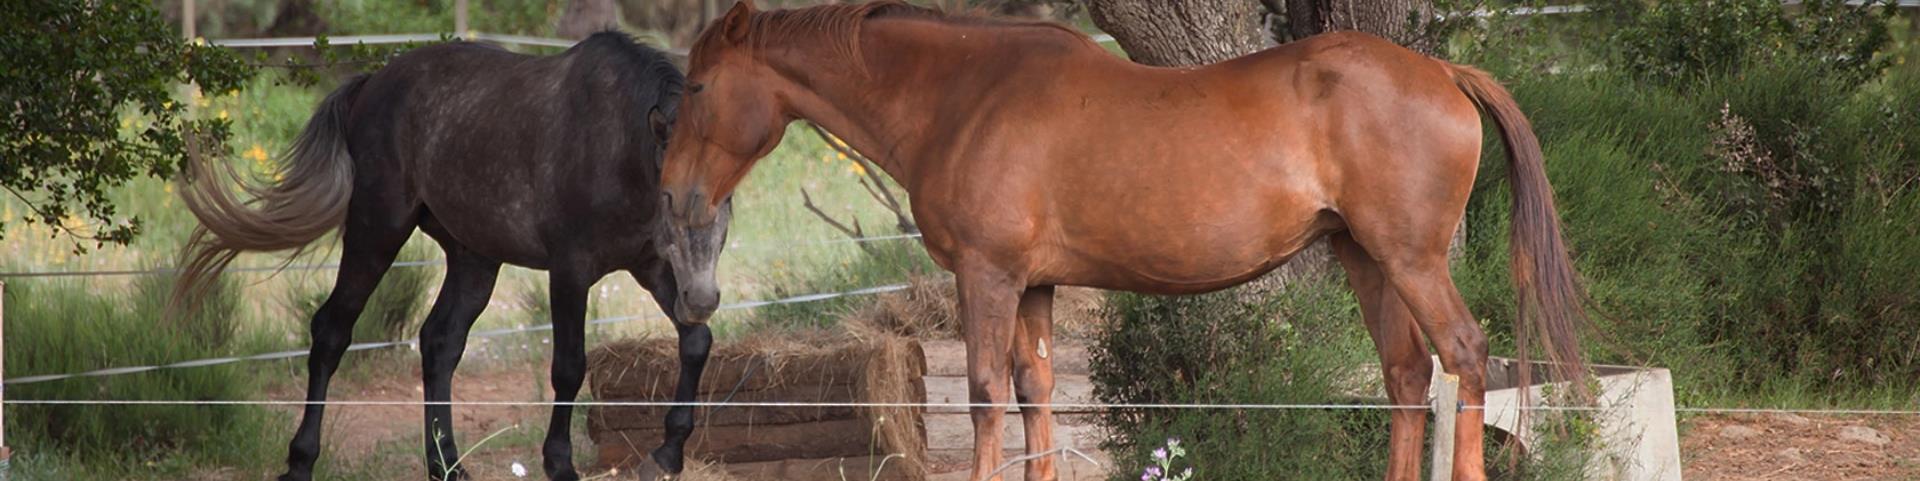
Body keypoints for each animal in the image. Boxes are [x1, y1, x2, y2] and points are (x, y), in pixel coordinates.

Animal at [172, 31, 729, 479]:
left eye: (726, 200)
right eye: (672, 199)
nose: (703, 298)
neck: (613, 144)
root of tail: (372, 83)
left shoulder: (653, 266)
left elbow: (697, 343)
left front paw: (667, 453)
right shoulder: (570, 271)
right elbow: (569, 366)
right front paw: (560, 464)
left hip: (473, 258)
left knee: (439, 343)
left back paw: (447, 465)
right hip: (377, 231)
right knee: (331, 331)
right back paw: (301, 462)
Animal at [660, 1, 1589, 479]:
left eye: (698, 86)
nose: (672, 194)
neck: (966, 93)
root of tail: (1444, 73)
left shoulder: (987, 278)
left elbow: (985, 397)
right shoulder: (1032, 286)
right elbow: (1034, 397)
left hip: (1409, 258)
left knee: (1464, 356)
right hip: (1367, 259)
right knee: (1406, 376)